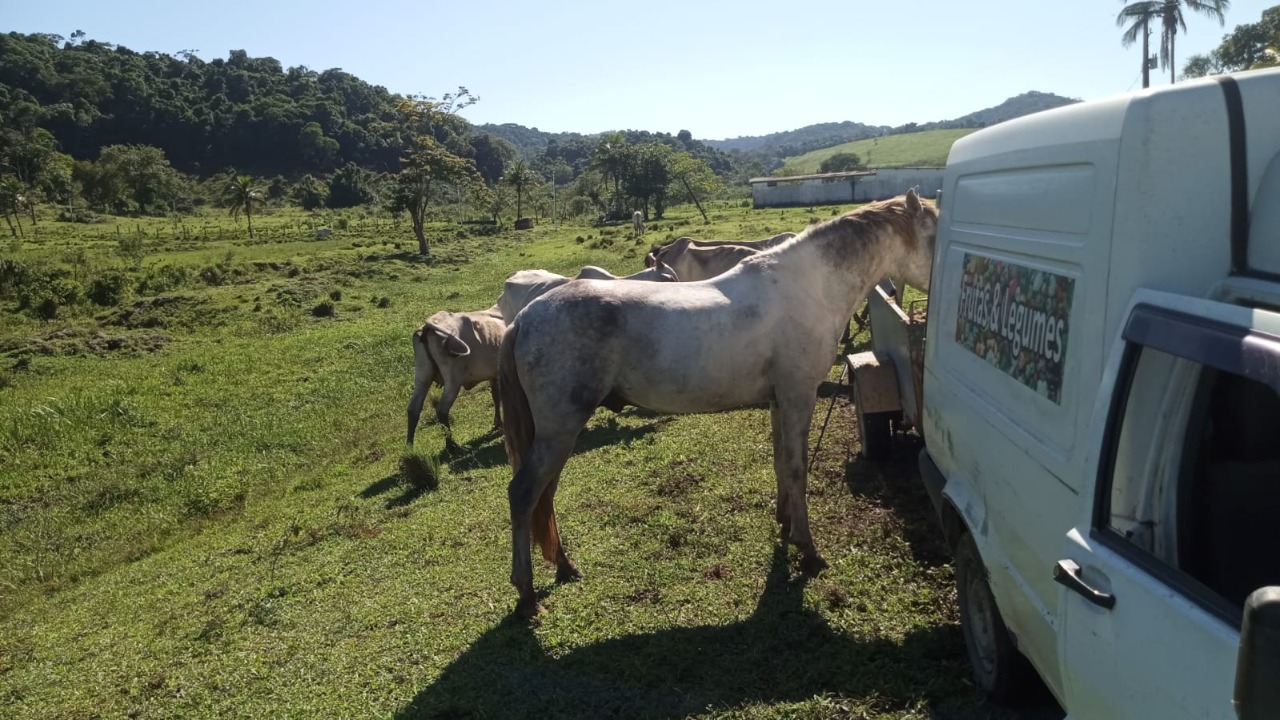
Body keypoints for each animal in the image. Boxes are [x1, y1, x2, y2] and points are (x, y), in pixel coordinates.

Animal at [494, 188, 936, 614]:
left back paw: (565, 567)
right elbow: (797, 470)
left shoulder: (779, 400)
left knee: (545, 496)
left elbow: (780, 462)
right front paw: (808, 550)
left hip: (557, 433)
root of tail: (524, 318)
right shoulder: (798, 395)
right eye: (934, 235)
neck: (805, 286)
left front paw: (785, 523)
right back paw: (527, 594)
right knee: (524, 494)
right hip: (560, 430)